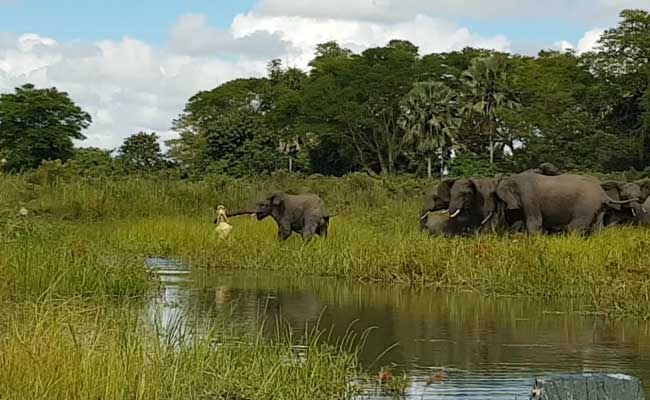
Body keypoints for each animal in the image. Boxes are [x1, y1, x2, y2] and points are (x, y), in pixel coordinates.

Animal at [494, 173, 632, 234]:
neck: (513, 178)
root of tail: (602, 193)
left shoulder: (529, 197)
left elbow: (534, 222)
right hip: (599, 206)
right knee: (597, 227)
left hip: (585, 205)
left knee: (575, 226)